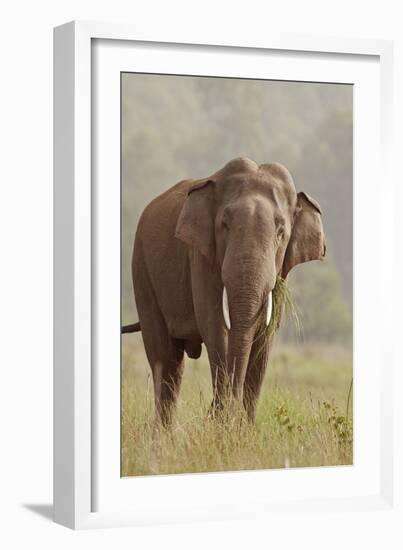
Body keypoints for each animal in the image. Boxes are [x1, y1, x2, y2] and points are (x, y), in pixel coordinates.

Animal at [122, 158, 326, 426]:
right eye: (224, 226)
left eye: (281, 233)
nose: (212, 412)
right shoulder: (201, 257)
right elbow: (216, 327)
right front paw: (225, 424)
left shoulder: (281, 274)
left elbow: (265, 337)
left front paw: (242, 429)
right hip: (141, 269)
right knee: (164, 358)